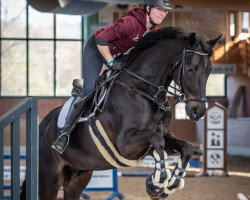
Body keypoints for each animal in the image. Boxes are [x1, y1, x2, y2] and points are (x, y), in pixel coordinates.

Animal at [21, 27, 221, 200]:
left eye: (210, 70)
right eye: (190, 69)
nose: (198, 110)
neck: (143, 90)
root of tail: (41, 126)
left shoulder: (160, 137)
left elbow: (184, 147)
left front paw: (168, 184)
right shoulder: (126, 144)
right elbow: (157, 141)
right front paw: (157, 184)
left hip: (77, 176)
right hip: (49, 179)